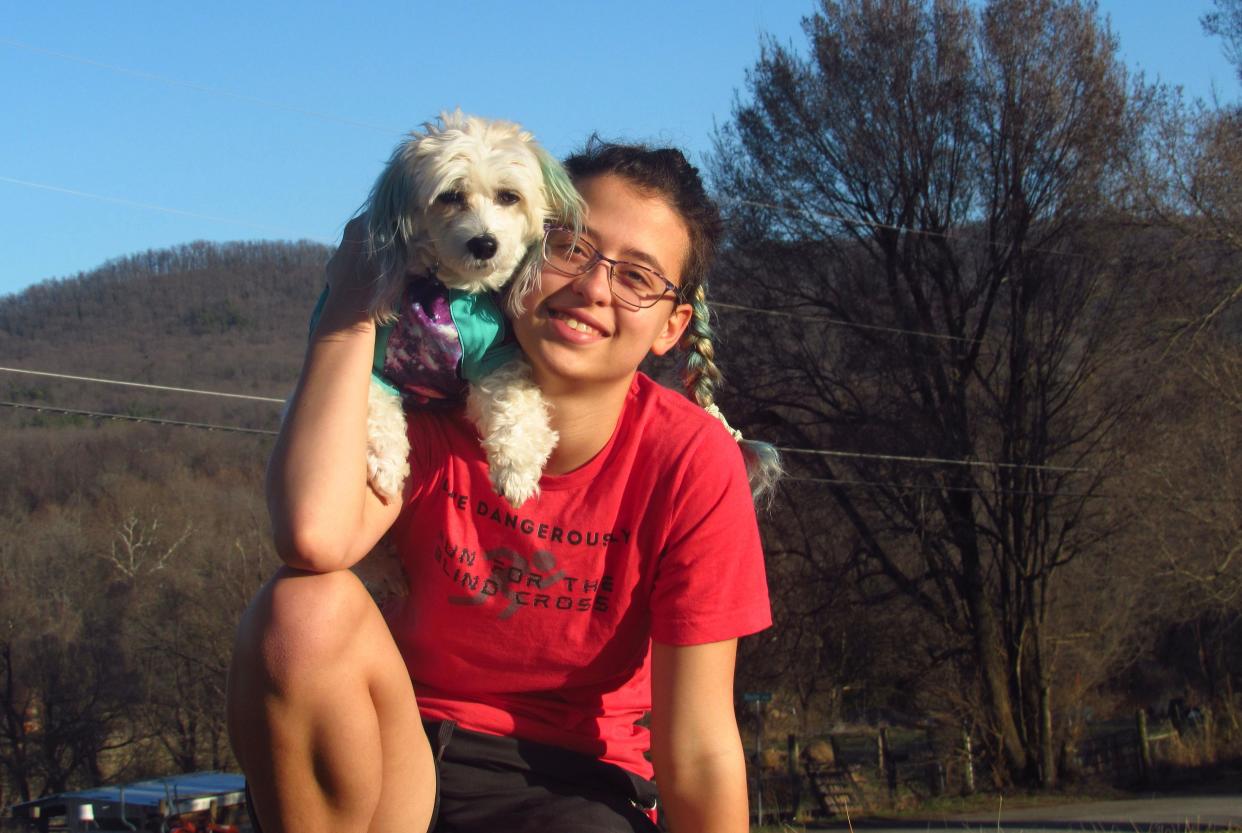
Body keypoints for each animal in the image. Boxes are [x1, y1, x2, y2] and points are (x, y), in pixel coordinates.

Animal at [355, 111, 576, 508]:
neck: (442, 290)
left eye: (509, 196)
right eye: (450, 196)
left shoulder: (496, 357)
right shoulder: (375, 363)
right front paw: (387, 464)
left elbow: (515, 405)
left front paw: (516, 471)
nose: (484, 243)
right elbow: (375, 407)